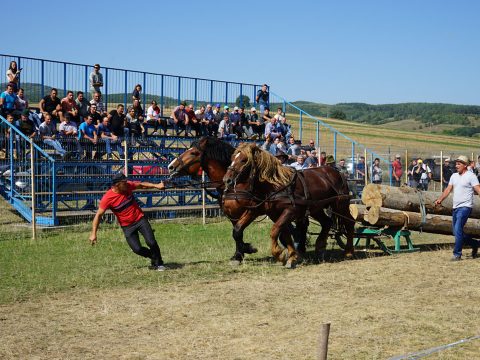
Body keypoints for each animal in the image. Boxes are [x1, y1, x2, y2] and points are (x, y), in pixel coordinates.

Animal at [225, 142, 356, 262]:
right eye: (232, 158)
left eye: (243, 160)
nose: (227, 180)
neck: (274, 185)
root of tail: (338, 173)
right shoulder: (260, 211)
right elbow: (238, 230)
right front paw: (292, 256)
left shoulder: (290, 210)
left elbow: (275, 230)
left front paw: (279, 254)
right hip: (316, 208)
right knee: (327, 222)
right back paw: (320, 247)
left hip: (340, 205)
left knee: (349, 222)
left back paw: (349, 252)